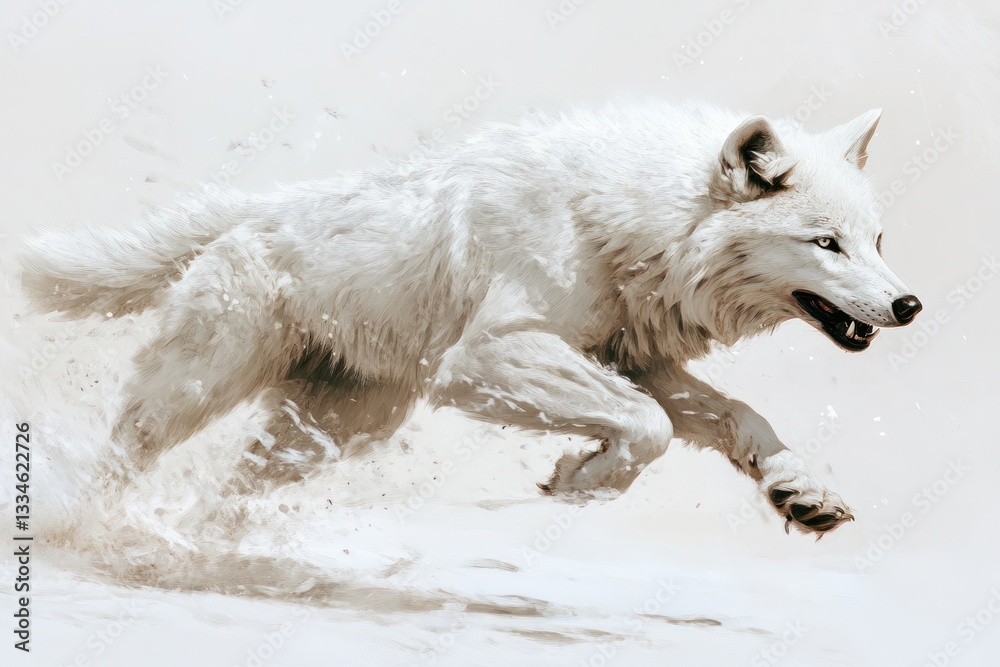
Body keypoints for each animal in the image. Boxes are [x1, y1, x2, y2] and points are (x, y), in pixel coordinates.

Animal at [21, 100, 921, 535]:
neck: (625, 219)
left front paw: (801, 491)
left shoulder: (631, 357)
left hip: (338, 430)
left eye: (878, 240)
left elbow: (735, 415)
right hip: (200, 386)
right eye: (825, 242)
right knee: (123, 455)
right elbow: (651, 427)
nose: (909, 305)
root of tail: (253, 207)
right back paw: (89, 530)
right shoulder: (488, 357)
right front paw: (581, 480)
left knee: (227, 493)